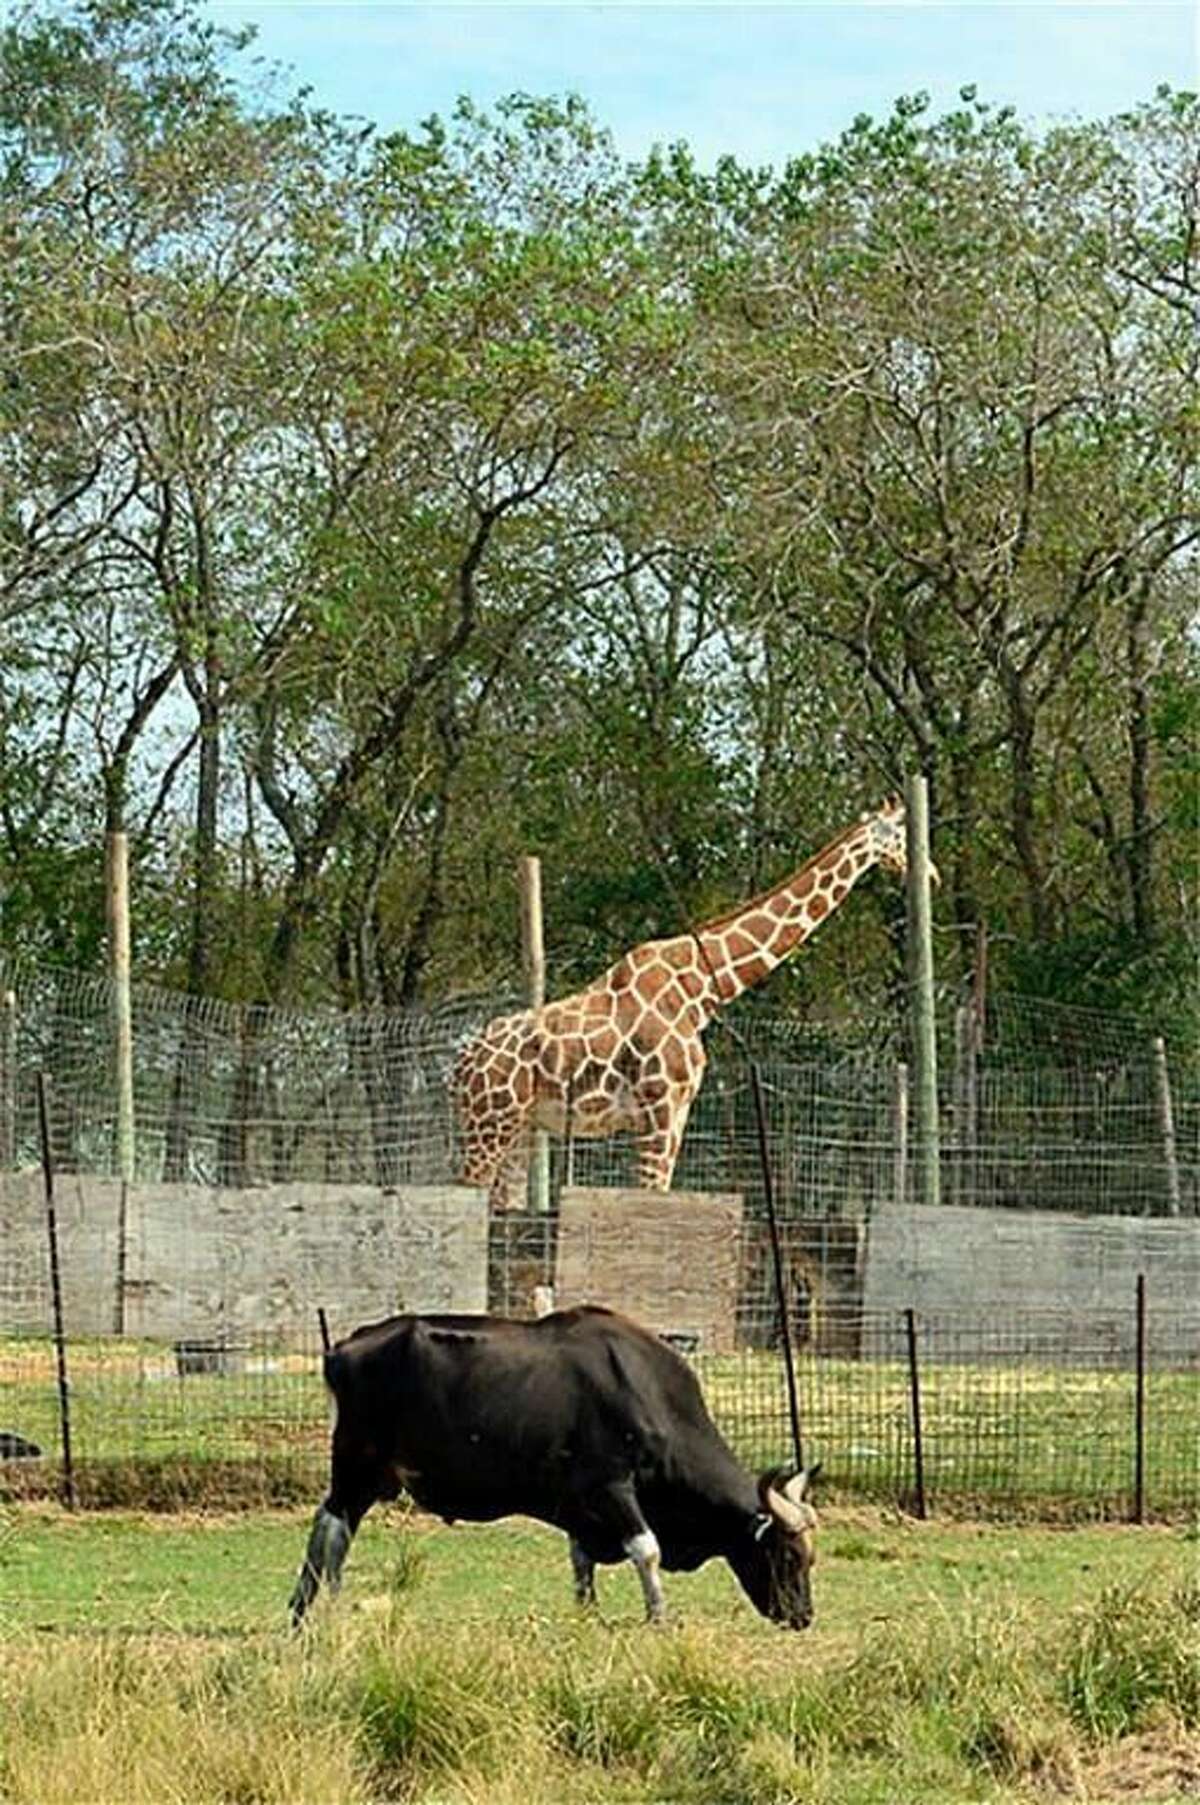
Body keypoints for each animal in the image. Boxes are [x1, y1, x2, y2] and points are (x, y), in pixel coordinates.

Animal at [290, 1299, 819, 1624]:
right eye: (790, 1556)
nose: (803, 1616)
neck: (646, 1394)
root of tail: (341, 1349)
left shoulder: (582, 1508)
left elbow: (581, 1564)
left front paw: (588, 1616)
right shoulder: (612, 1487)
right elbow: (646, 1550)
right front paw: (658, 1616)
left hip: (369, 1476)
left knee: (326, 1531)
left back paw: (303, 1613)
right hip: (357, 1465)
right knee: (333, 1531)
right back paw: (324, 1611)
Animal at [454, 797, 913, 1205]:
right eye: (903, 834)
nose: (923, 869)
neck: (701, 987)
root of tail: (463, 1061)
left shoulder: (676, 1113)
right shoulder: (662, 1109)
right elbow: (652, 1196)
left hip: (520, 1127)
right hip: (488, 1124)